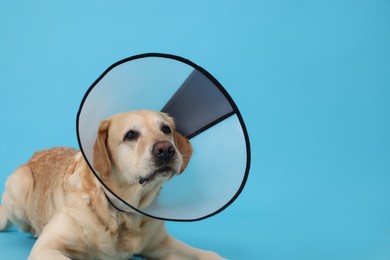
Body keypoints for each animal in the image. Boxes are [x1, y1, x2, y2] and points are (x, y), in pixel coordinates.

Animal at [0, 110, 222, 260]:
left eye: (166, 129)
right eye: (130, 135)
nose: (166, 149)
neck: (126, 212)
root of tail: (36, 153)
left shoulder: (162, 244)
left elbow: (208, 254)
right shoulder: (47, 247)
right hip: (19, 185)